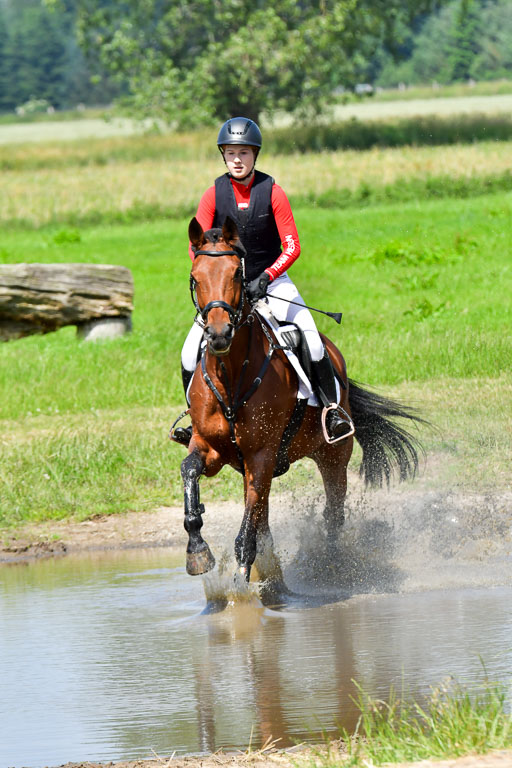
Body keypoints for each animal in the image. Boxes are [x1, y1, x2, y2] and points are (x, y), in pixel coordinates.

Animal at [173, 215, 423, 595]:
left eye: (236, 275)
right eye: (196, 276)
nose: (218, 335)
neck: (231, 376)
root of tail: (336, 356)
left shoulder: (261, 455)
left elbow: (247, 535)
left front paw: (242, 591)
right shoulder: (210, 448)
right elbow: (190, 471)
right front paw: (197, 551)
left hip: (333, 456)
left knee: (332, 513)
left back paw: (331, 569)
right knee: (264, 516)